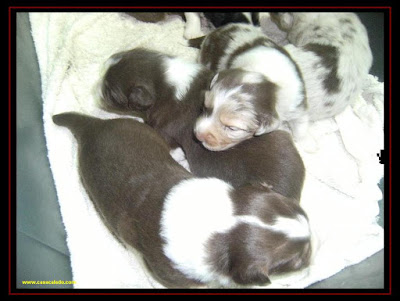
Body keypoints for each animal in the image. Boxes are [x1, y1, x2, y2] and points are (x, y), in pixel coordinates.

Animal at [52, 112, 312, 286]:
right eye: (296, 261)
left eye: (300, 212)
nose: (313, 246)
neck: (222, 223)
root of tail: (93, 126)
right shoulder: (172, 275)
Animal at [193, 23, 306, 151]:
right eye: (205, 108)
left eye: (232, 128)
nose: (197, 135)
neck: (267, 77)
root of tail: (217, 31)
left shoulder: (297, 102)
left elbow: (300, 123)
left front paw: (307, 145)